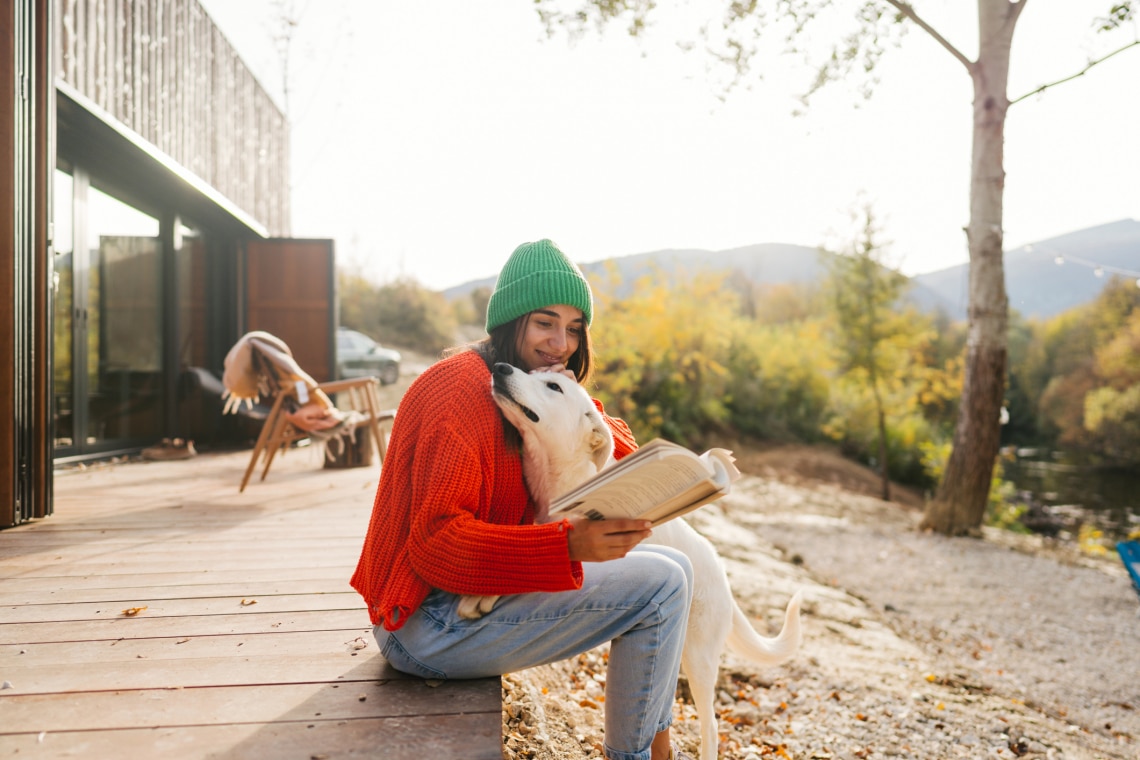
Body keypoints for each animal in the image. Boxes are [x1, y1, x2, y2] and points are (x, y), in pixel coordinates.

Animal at [458, 362, 807, 760]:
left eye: (554, 386)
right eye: (532, 372)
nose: (501, 367)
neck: (564, 480)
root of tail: (722, 575)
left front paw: (481, 595)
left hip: (699, 658)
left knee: (712, 725)